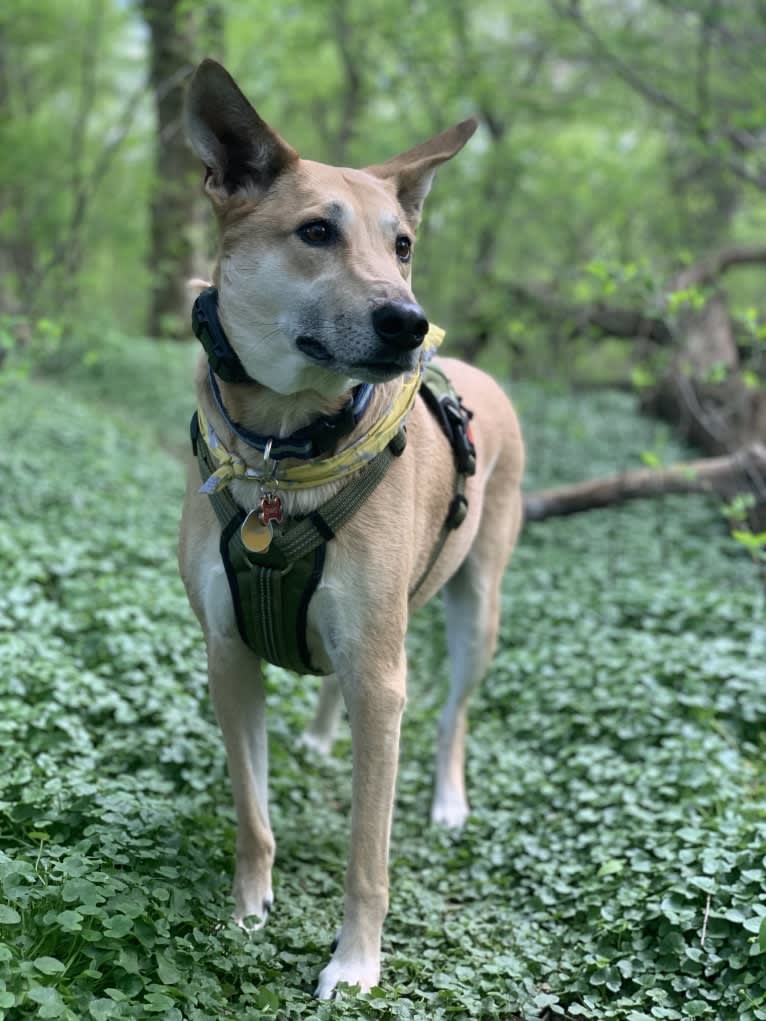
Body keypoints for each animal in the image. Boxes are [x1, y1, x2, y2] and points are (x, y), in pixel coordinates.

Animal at [178, 61, 527, 996]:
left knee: (452, 715)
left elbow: (367, 853)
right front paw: (246, 911)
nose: (408, 321)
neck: (284, 453)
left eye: (402, 243)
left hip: (477, 609)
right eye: (314, 232)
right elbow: (254, 812)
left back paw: (448, 800)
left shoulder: (382, 680)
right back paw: (320, 732)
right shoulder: (229, 655)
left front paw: (356, 962)